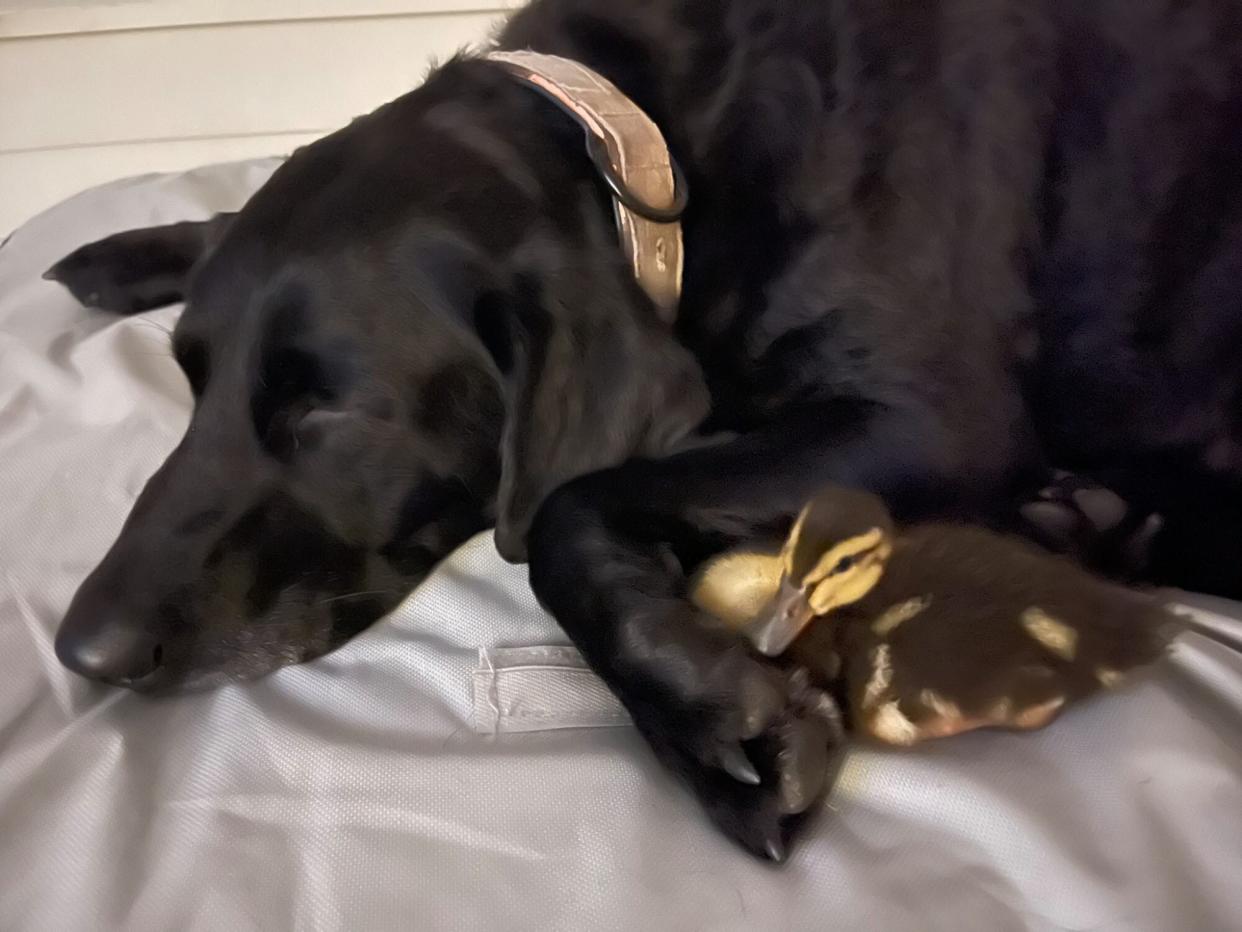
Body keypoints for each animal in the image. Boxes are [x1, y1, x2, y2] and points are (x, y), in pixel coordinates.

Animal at [43, 0, 1242, 859]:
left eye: (329, 409)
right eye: (188, 381)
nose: (82, 651)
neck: (643, 148)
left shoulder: (926, 420)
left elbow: (563, 509)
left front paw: (706, 714)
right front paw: (139, 247)